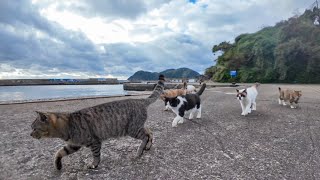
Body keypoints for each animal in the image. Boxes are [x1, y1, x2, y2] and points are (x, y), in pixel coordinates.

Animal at [30, 78, 165, 169]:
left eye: (34, 128)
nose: (30, 134)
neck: (68, 124)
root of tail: (140, 100)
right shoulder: (74, 144)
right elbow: (60, 152)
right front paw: (57, 164)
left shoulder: (94, 141)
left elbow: (96, 155)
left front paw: (94, 165)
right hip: (137, 127)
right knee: (150, 131)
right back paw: (148, 146)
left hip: (132, 129)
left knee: (145, 135)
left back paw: (139, 151)